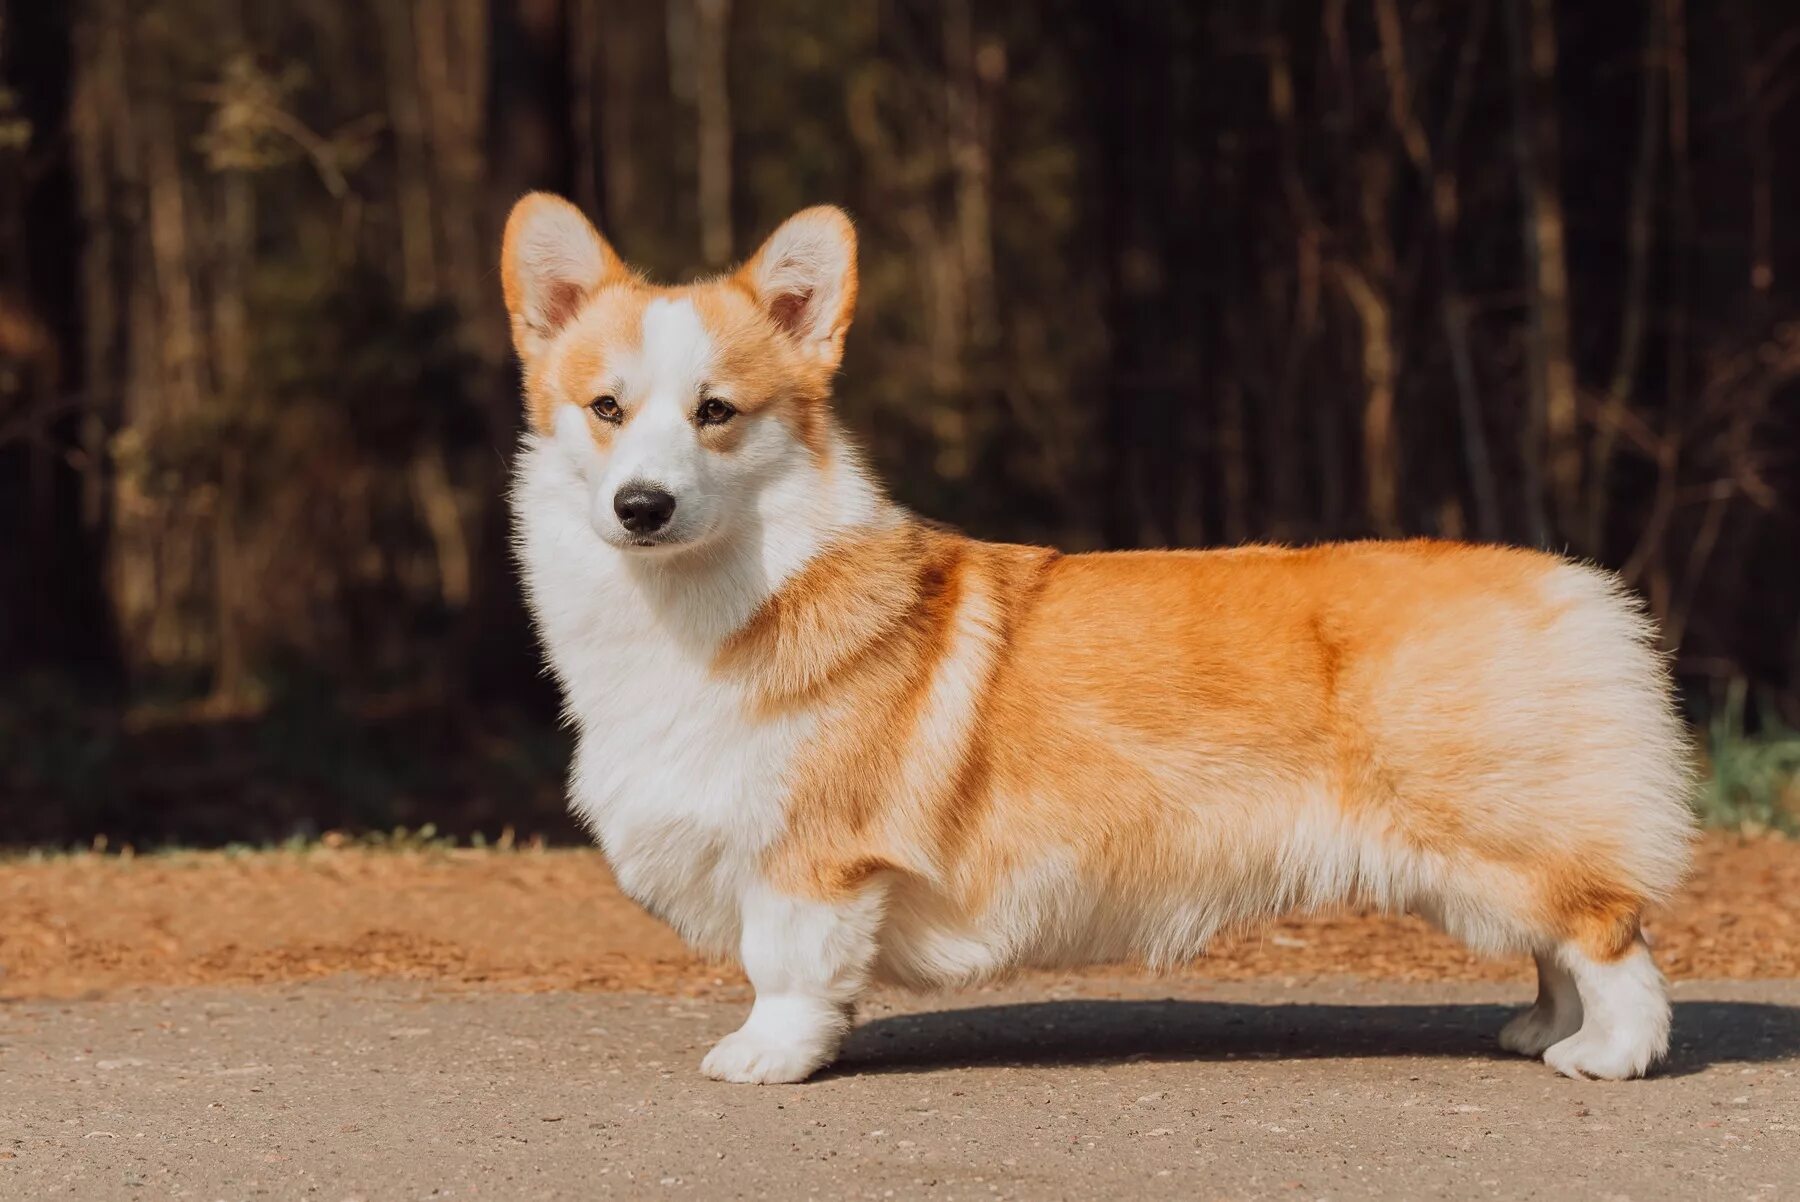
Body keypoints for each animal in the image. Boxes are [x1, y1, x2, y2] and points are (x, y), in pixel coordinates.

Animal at [500, 192, 1692, 1086]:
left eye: (717, 412)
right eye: (605, 409)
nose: (641, 507)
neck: (710, 596)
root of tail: (1567, 582)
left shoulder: (813, 858)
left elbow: (787, 968)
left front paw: (765, 1056)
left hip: (1494, 840)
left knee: (1610, 936)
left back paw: (1608, 1053)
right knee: (1562, 947)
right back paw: (1540, 1030)